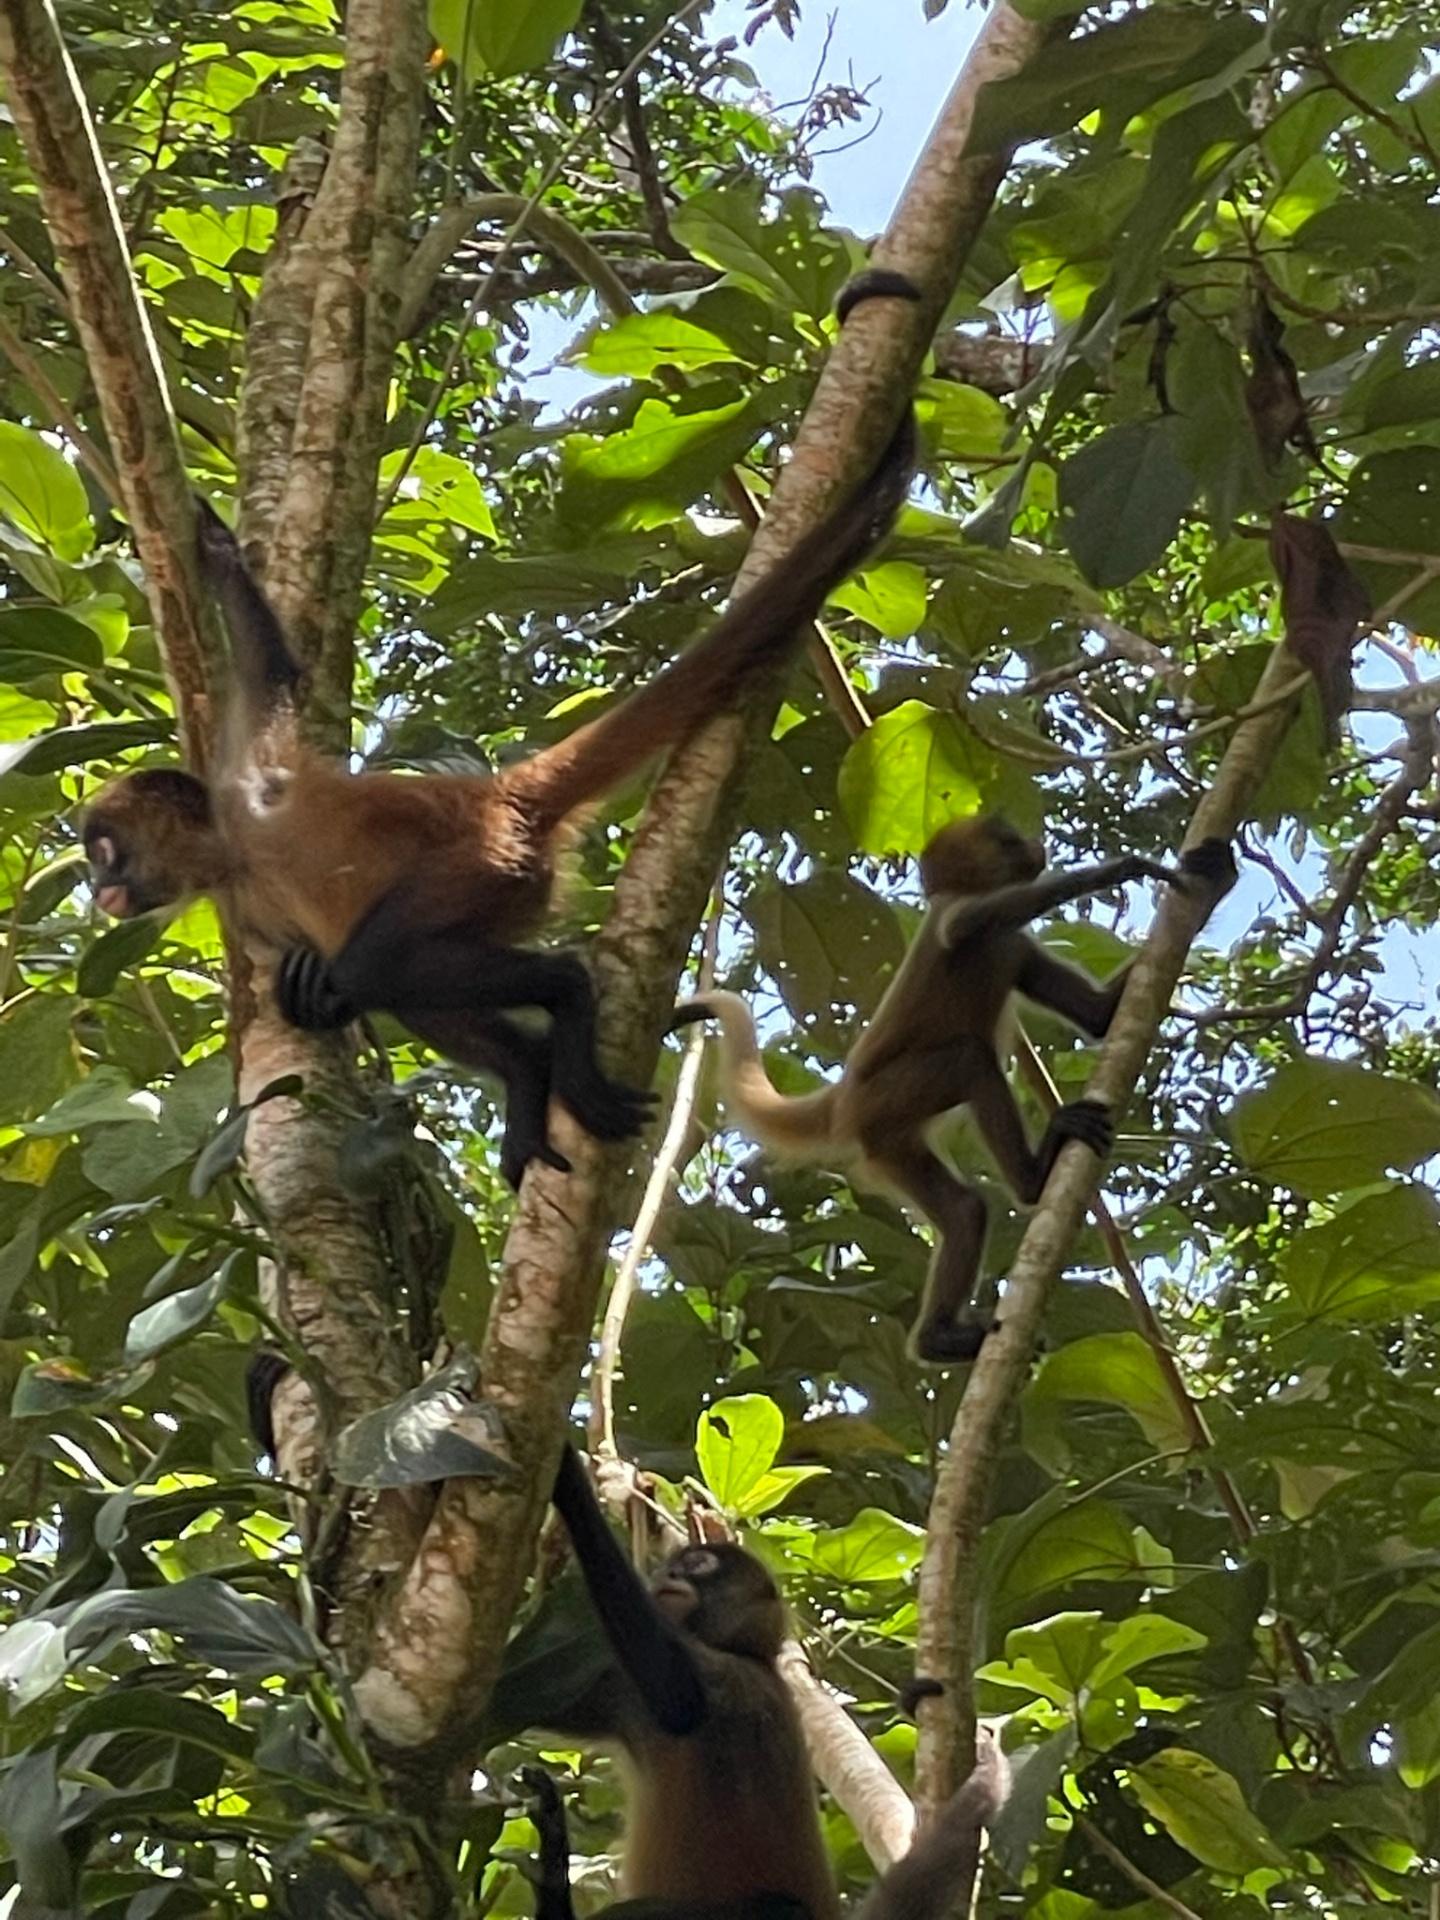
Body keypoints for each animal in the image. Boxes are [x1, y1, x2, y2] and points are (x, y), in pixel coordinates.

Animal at [82, 274, 920, 1190]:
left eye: (103, 850)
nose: (96, 889)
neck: (233, 857)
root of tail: (495, 795)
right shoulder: (250, 914)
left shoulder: (249, 776)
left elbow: (272, 672)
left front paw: (204, 533)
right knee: (390, 981)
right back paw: (530, 1071)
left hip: (479, 865)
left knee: (389, 964)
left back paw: (567, 992)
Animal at [547, 1441, 1010, 1920]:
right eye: (667, 1570)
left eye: (697, 1563)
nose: (666, 1576)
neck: (753, 1655)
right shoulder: (627, 1698)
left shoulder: (741, 1682)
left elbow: (678, 1700)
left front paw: (567, 1478)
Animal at [671, 818, 1236, 1363]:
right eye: (1006, 839)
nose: (1035, 846)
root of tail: (843, 1095)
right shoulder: (960, 917)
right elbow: (966, 927)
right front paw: (1117, 870)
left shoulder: (1017, 947)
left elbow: (1102, 1017)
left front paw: (1217, 878)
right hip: (886, 1099)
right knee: (970, 1060)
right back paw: (1031, 1184)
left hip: (890, 1140)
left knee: (965, 1211)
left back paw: (940, 1333)